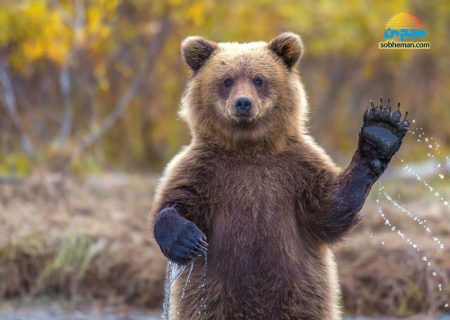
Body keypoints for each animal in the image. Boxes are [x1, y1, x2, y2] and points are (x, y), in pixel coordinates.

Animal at [150, 33, 408, 320]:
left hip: (301, 296)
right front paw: (187, 240)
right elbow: (176, 200)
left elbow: (329, 210)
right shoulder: (204, 169)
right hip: (209, 299)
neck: (249, 148)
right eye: (227, 80)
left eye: (259, 79)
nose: (243, 103)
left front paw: (381, 132)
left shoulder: (296, 169)